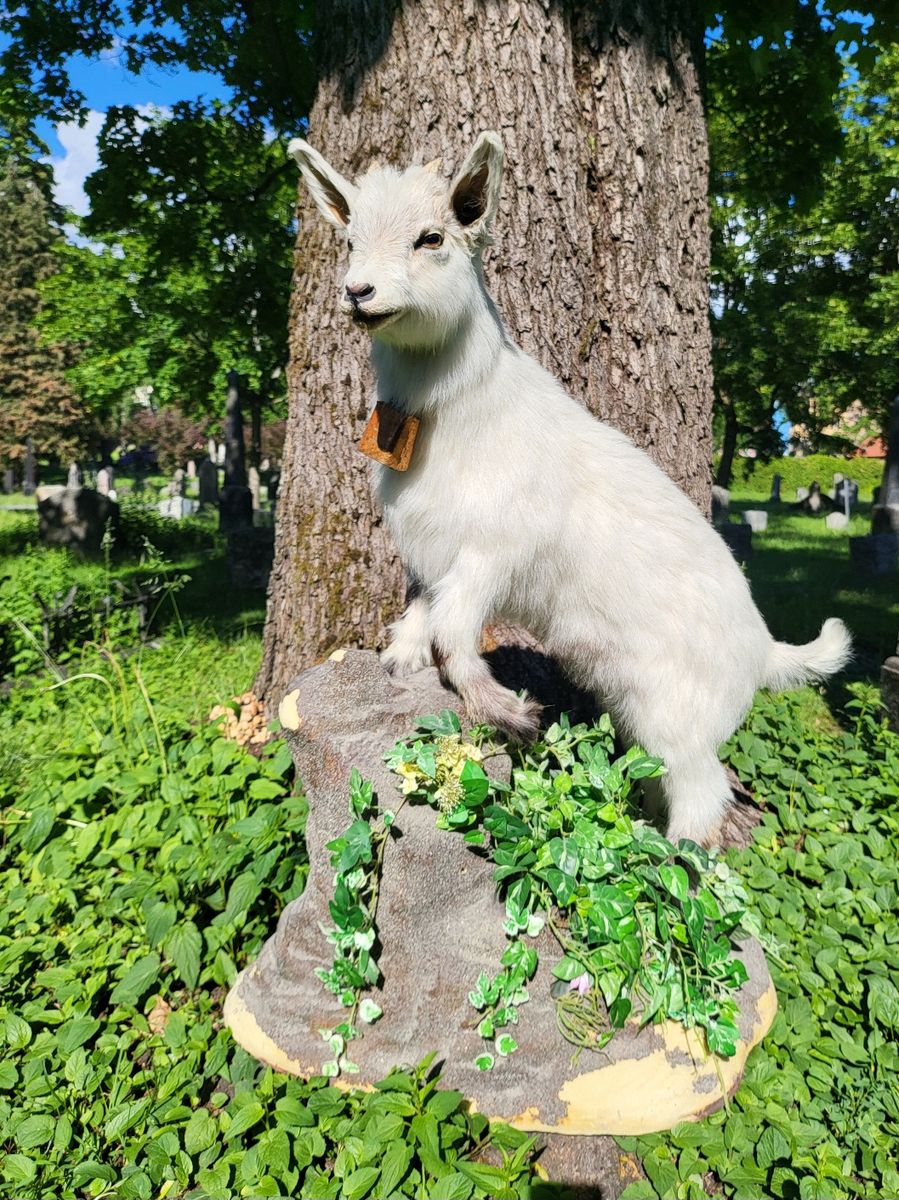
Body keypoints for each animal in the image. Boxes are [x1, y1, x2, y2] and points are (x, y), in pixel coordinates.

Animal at [289, 131, 851, 845]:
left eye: (431, 237)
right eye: (350, 238)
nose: (358, 291)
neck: (455, 411)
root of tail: (765, 650)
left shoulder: (492, 554)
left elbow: (455, 628)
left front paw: (502, 709)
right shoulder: (429, 549)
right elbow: (423, 610)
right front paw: (401, 659)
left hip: (683, 725)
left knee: (703, 800)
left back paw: (672, 857)